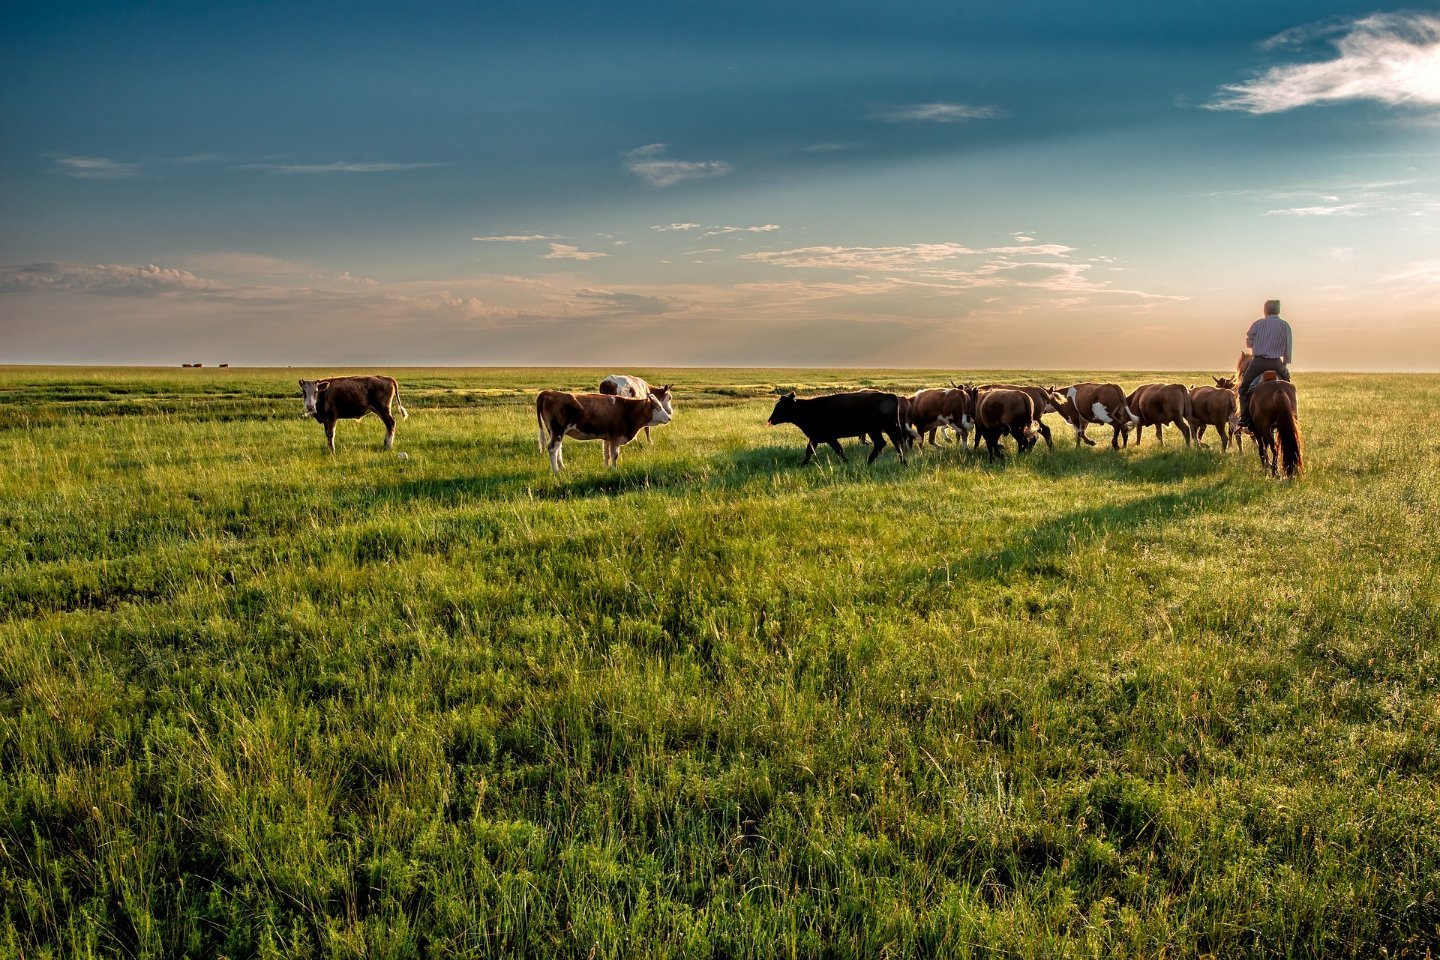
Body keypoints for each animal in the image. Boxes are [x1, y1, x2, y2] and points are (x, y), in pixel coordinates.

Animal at [538, 385, 671, 469]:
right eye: (658, 407)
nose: (669, 418)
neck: (627, 409)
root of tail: (549, 392)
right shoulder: (616, 437)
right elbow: (614, 455)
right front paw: (614, 469)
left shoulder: (608, 437)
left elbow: (606, 453)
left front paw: (606, 468)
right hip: (558, 430)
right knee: (552, 449)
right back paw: (556, 472)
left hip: (555, 432)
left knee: (558, 449)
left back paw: (562, 468)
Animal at [766, 391, 910, 466]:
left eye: (780, 407)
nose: (770, 419)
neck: (807, 409)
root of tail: (890, 395)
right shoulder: (816, 438)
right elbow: (811, 451)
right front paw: (803, 465)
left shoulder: (827, 437)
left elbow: (837, 450)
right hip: (888, 429)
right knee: (895, 443)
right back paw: (902, 462)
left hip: (875, 429)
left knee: (882, 443)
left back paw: (869, 461)